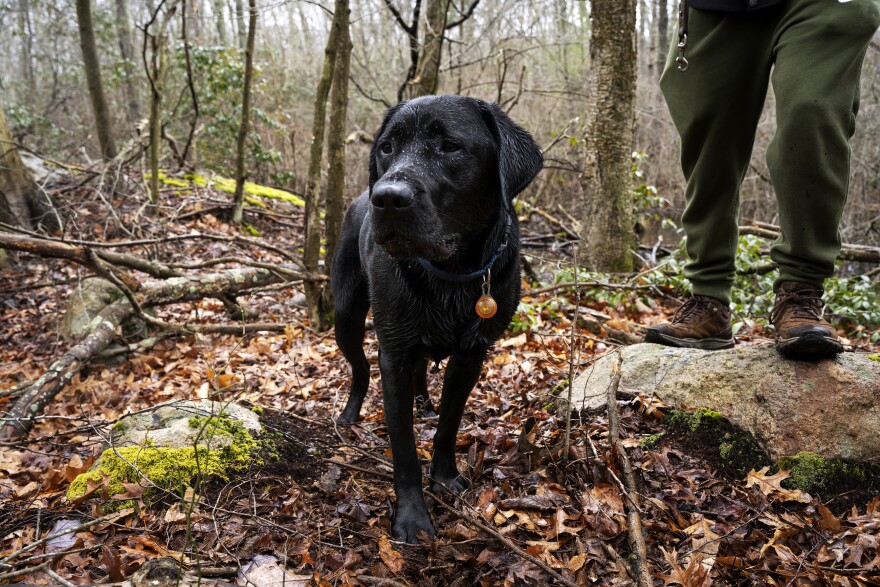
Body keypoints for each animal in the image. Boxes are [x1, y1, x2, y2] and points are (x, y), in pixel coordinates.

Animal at [330, 95, 544, 544]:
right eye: (386, 148)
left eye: (450, 146)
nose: (386, 198)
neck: (449, 275)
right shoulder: (394, 354)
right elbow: (404, 448)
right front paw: (412, 518)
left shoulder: (472, 355)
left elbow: (449, 423)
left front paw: (445, 476)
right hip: (347, 317)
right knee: (359, 369)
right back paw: (350, 414)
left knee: (422, 373)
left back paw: (424, 404)